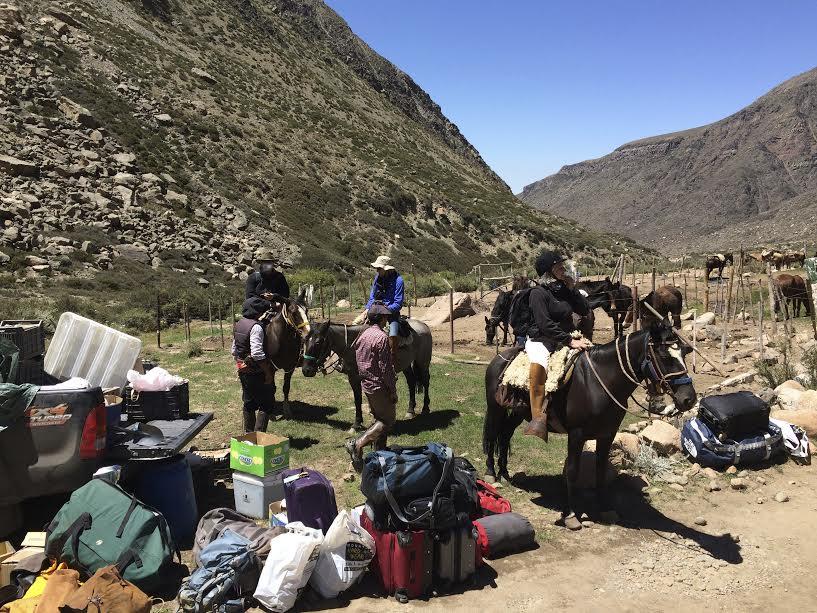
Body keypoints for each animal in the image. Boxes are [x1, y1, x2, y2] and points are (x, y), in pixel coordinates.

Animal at [302, 318, 434, 428]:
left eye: (319, 342)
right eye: (304, 340)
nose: (306, 370)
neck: (354, 346)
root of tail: (424, 325)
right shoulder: (353, 377)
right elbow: (358, 399)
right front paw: (357, 423)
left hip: (423, 362)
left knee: (426, 381)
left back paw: (425, 408)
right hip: (406, 365)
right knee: (411, 382)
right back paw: (410, 411)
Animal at [484, 318, 696, 528]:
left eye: (684, 353)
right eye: (664, 356)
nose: (689, 399)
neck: (599, 381)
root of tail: (498, 358)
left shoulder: (607, 434)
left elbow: (600, 472)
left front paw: (604, 509)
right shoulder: (576, 434)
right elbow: (572, 471)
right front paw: (570, 514)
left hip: (518, 413)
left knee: (505, 434)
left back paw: (505, 473)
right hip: (495, 409)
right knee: (492, 435)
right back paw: (491, 473)